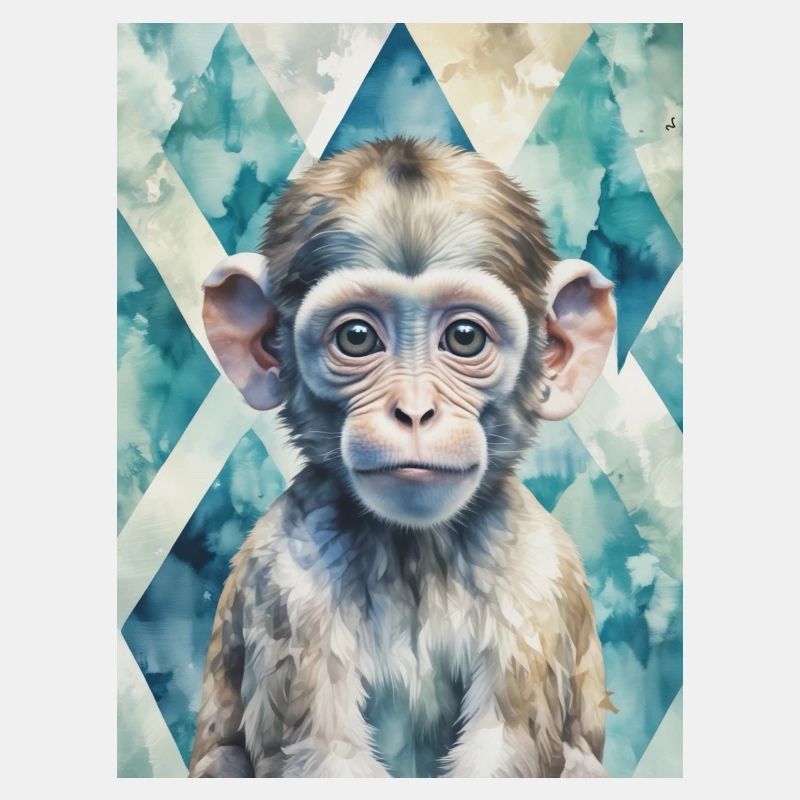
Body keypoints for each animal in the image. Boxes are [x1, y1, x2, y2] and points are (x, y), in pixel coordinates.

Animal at [189, 137, 617, 778]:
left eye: (464, 337)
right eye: (357, 337)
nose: (414, 412)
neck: (415, 550)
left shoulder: (537, 578)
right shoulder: (287, 579)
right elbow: (321, 755)